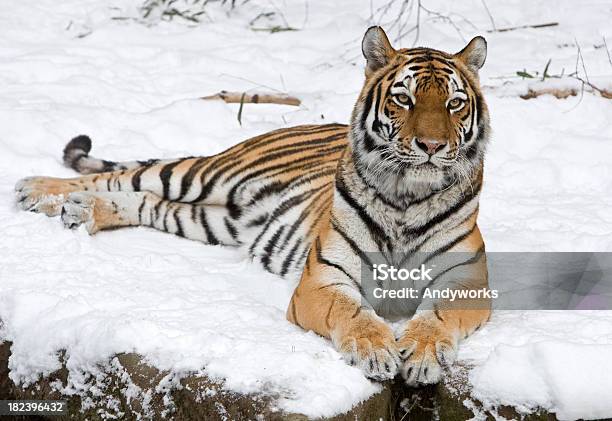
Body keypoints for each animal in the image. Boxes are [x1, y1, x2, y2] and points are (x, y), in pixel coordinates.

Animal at [15, 26, 492, 386]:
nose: (431, 146)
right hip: (205, 174)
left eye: (454, 102)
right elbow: (352, 312)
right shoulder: (323, 278)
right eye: (403, 99)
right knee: (122, 175)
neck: (406, 197)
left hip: (207, 219)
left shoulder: (465, 279)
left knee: (147, 201)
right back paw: (37, 190)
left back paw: (82, 211)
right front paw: (375, 349)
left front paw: (424, 353)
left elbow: (437, 316)